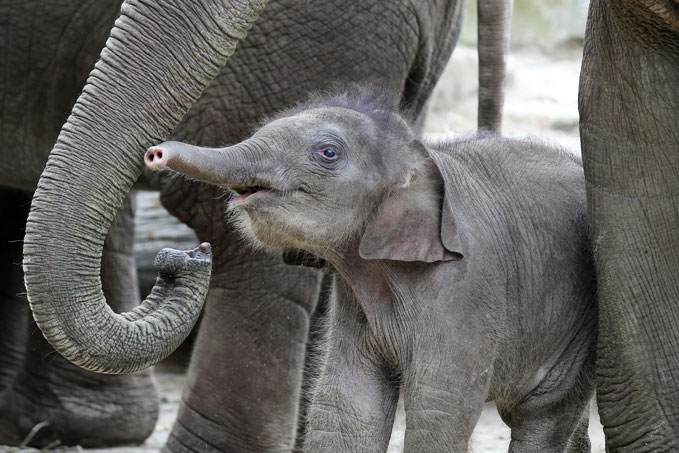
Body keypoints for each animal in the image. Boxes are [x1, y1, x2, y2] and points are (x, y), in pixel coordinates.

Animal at [147, 92, 596, 452]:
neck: (420, 153)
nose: (155, 154)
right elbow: (347, 404)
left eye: (328, 153)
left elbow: (441, 408)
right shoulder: (353, 294)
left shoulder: (468, 287)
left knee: (542, 416)